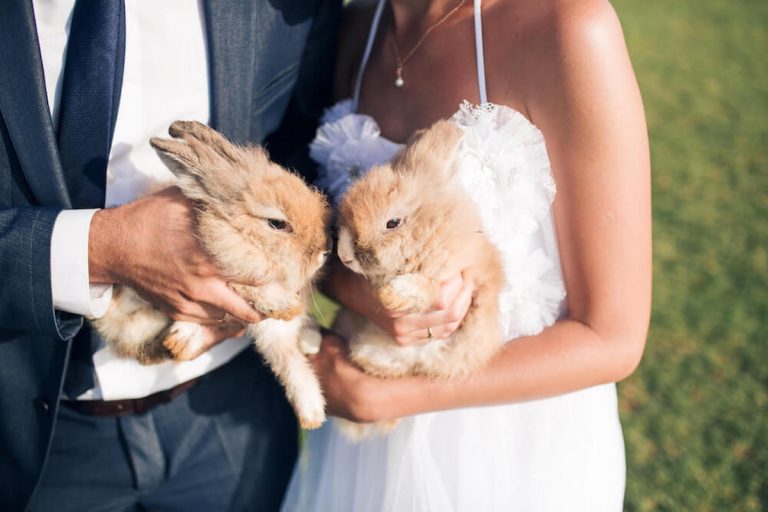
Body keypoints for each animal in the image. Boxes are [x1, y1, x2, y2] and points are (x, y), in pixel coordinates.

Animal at [90, 122, 330, 430]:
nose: (325, 250)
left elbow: (287, 358)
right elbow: (249, 293)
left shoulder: (271, 329)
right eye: (277, 223)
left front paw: (311, 413)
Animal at [334, 119, 504, 436]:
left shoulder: (453, 273)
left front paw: (391, 295)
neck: (430, 231)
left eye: (392, 223)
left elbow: (423, 286)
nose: (343, 255)